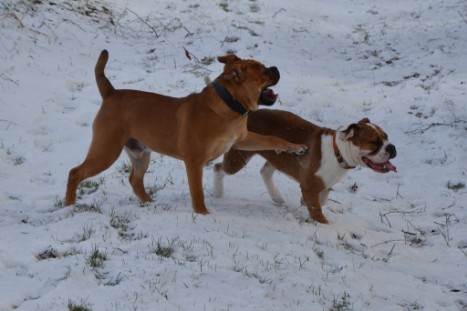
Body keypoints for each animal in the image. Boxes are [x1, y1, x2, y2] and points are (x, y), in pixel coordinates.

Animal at [64, 50, 308, 214]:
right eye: (263, 70)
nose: (276, 68)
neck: (229, 105)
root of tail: (111, 93)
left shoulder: (243, 140)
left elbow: (273, 138)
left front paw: (295, 147)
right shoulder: (194, 161)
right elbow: (197, 192)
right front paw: (203, 214)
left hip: (140, 154)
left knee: (135, 180)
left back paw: (150, 203)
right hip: (105, 151)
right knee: (75, 173)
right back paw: (68, 206)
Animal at [214, 108, 396, 223]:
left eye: (387, 137)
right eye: (375, 142)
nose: (392, 147)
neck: (338, 151)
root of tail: (249, 113)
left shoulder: (323, 185)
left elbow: (321, 201)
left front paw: (303, 202)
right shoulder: (310, 186)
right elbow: (317, 210)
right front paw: (323, 225)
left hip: (277, 154)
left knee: (265, 171)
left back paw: (276, 196)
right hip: (237, 159)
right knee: (218, 167)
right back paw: (217, 191)